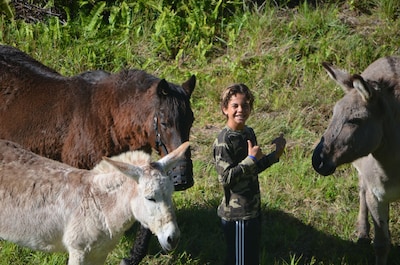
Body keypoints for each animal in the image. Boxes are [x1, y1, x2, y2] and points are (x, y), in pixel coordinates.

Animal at [312, 56, 400, 264]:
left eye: (354, 120)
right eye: (333, 113)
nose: (316, 161)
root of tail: (388, 58)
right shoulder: (375, 195)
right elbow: (381, 245)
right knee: (362, 188)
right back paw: (362, 233)